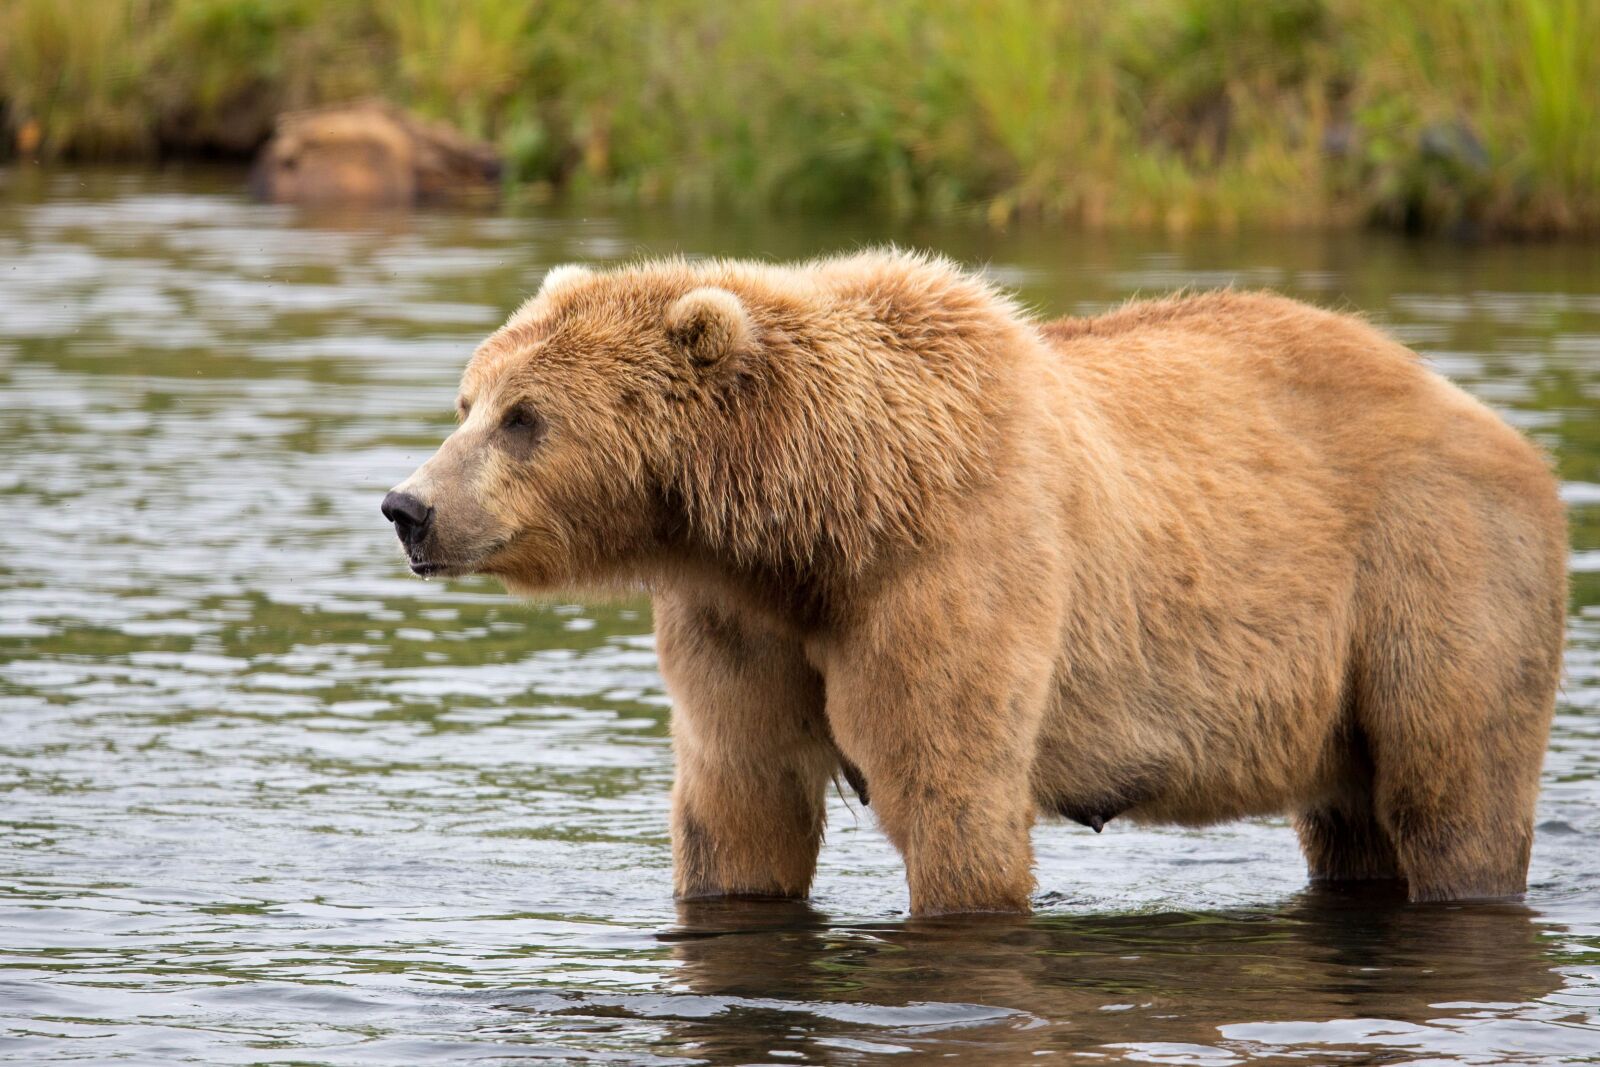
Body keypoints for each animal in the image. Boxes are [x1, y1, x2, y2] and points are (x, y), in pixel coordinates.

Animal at [382, 249, 1567, 915]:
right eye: (468, 399)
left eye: (525, 417)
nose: (409, 507)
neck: (821, 520)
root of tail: (1500, 426)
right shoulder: (735, 617)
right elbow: (741, 800)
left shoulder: (956, 566)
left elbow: (952, 794)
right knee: (1354, 823)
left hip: (1430, 569)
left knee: (1450, 786)